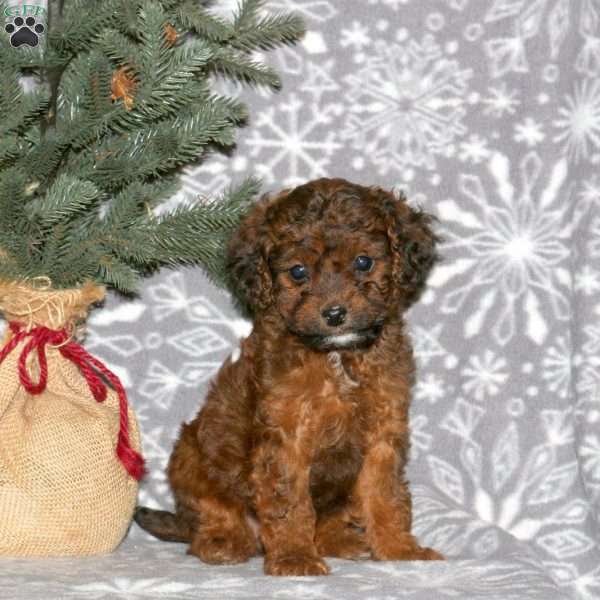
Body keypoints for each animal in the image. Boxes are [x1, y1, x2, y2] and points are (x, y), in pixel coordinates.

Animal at [137, 178, 446, 576]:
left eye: (363, 262)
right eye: (298, 272)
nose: (335, 314)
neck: (336, 356)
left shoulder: (383, 430)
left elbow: (385, 494)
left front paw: (399, 549)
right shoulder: (285, 433)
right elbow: (288, 501)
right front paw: (294, 557)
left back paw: (341, 541)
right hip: (191, 455)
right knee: (213, 511)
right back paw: (223, 541)